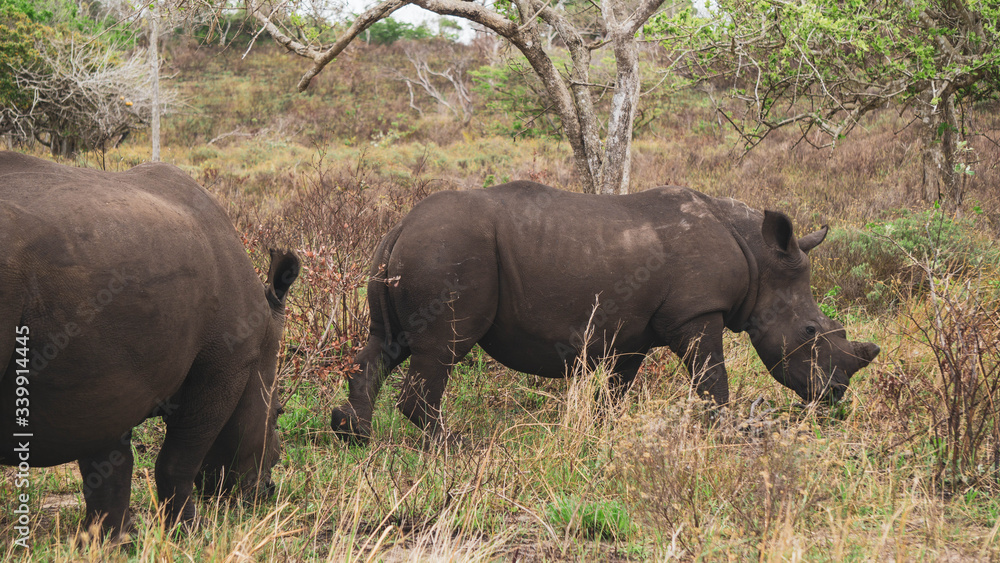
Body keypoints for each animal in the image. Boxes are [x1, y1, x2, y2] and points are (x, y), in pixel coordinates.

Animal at [0, 152, 300, 538]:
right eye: (277, 414)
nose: (267, 490)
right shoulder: (225, 365)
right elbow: (180, 458)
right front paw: (187, 530)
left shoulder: (105, 381)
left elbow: (109, 470)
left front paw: (112, 539)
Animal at [330, 181, 879, 442]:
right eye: (810, 330)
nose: (834, 394)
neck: (759, 257)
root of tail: (401, 224)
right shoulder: (697, 313)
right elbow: (712, 380)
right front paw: (724, 433)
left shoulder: (634, 330)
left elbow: (617, 390)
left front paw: (601, 431)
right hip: (448, 250)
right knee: (441, 348)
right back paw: (458, 446)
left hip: (410, 251)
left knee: (386, 344)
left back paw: (354, 436)